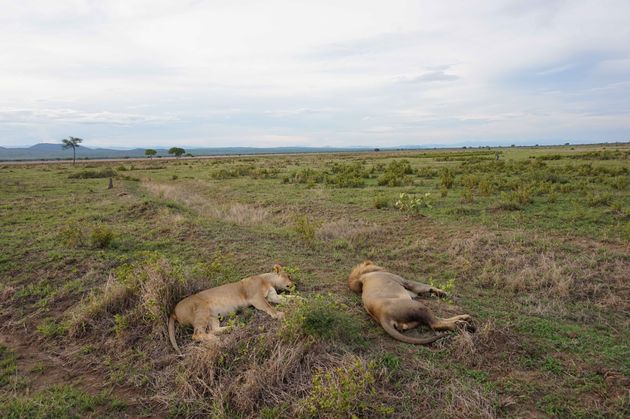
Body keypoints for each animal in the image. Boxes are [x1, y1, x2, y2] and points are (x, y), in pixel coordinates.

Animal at [348, 260, 476, 346]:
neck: (364, 276)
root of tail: (382, 316)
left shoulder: (411, 292)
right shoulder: (406, 282)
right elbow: (426, 286)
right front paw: (444, 293)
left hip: (416, 313)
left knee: (437, 320)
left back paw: (464, 319)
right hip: (419, 306)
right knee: (436, 323)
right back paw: (464, 325)